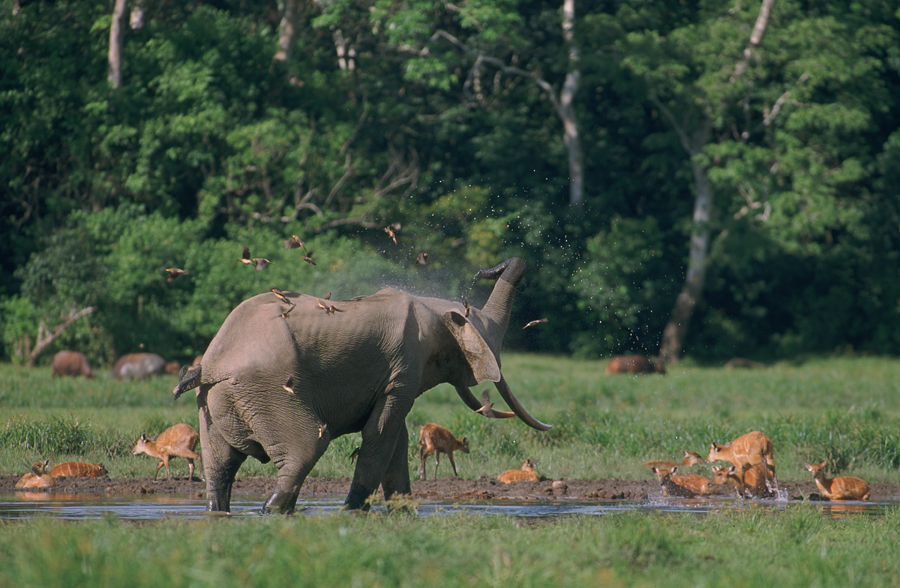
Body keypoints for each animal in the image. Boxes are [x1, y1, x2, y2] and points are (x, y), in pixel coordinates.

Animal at [172, 255, 552, 512]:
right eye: (488, 337)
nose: (484, 270)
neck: (435, 307)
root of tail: (212, 362)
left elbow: (396, 437)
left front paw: (402, 512)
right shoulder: (405, 365)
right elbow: (381, 434)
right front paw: (353, 511)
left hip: (218, 398)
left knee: (220, 465)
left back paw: (221, 511)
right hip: (267, 389)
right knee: (308, 447)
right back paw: (271, 511)